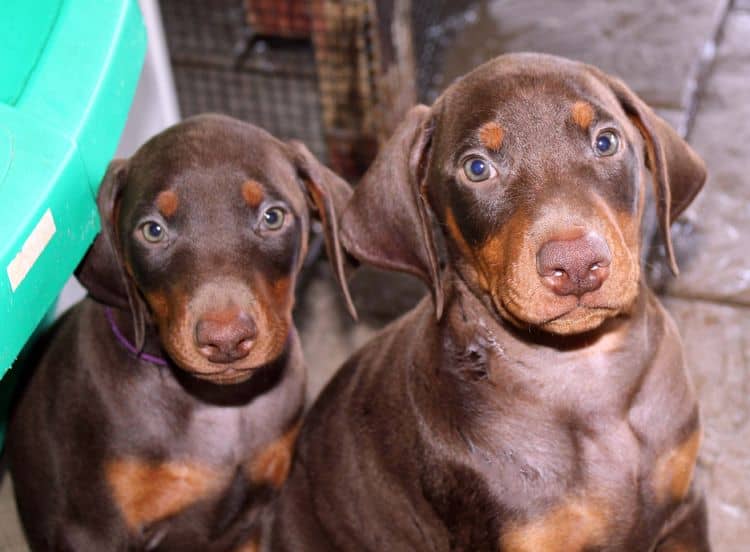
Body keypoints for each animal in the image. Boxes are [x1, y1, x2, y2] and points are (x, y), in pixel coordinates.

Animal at [7, 114, 356, 548]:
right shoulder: (94, 530)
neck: (219, 405)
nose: (226, 340)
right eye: (153, 230)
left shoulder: (258, 516)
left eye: (272, 217)